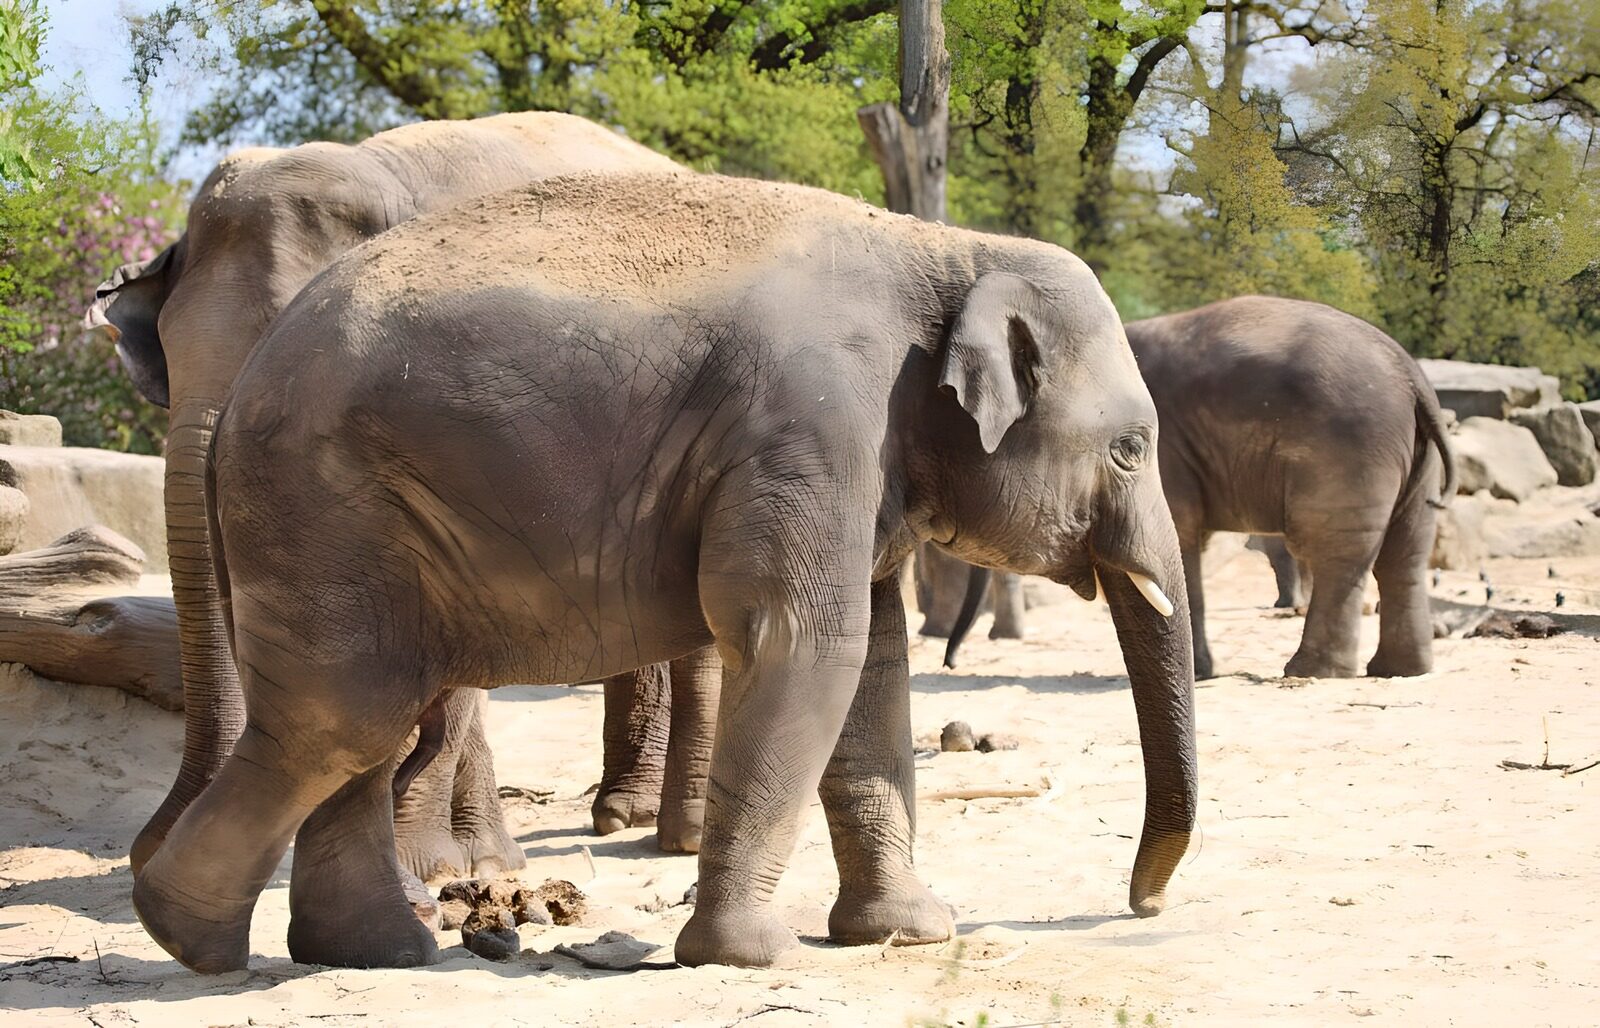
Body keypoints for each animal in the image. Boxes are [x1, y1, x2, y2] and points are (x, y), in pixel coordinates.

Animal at [85, 112, 683, 881]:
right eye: (162, 347)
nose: (146, 853)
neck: (378, 173)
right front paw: (468, 860)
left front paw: (443, 864)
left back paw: (634, 819)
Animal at [129, 170, 1198, 973]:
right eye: (1131, 450)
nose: (1142, 907)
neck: (947, 249)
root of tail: (235, 399)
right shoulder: (809, 427)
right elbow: (802, 648)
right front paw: (749, 956)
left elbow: (874, 667)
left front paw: (905, 933)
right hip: (323, 508)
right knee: (343, 718)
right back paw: (185, 933)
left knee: (362, 724)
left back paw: (370, 954)